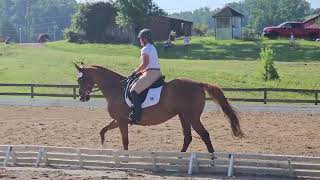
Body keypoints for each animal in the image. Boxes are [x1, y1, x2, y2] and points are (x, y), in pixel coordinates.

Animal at [75, 64, 245, 153]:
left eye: (80, 79)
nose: (82, 97)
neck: (115, 88)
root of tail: (198, 83)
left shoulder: (122, 121)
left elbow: (125, 141)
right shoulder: (119, 120)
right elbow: (103, 130)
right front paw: (103, 145)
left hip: (192, 117)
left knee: (204, 135)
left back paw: (212, 159)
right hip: (183, 116)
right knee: (188, 137)